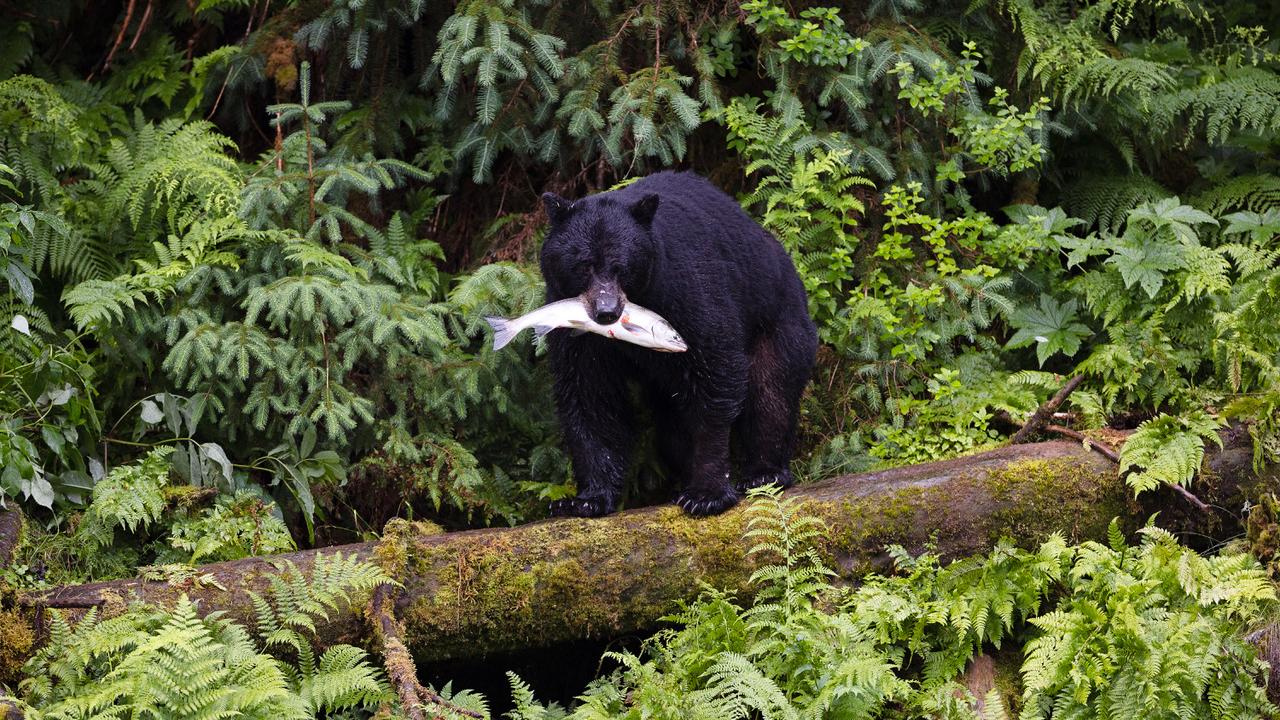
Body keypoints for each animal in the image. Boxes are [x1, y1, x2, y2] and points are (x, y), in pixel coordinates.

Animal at [539, 171, 819, 517]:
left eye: (621, 267)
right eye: (584, 265)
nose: (606, 312)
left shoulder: (685, 292)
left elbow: (715, 372)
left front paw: (706, 494)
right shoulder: (575, 329)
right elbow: (590, 394)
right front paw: (585, 499)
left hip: (776, 320)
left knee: (771, 391)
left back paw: (763, 473)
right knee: (671, 429)